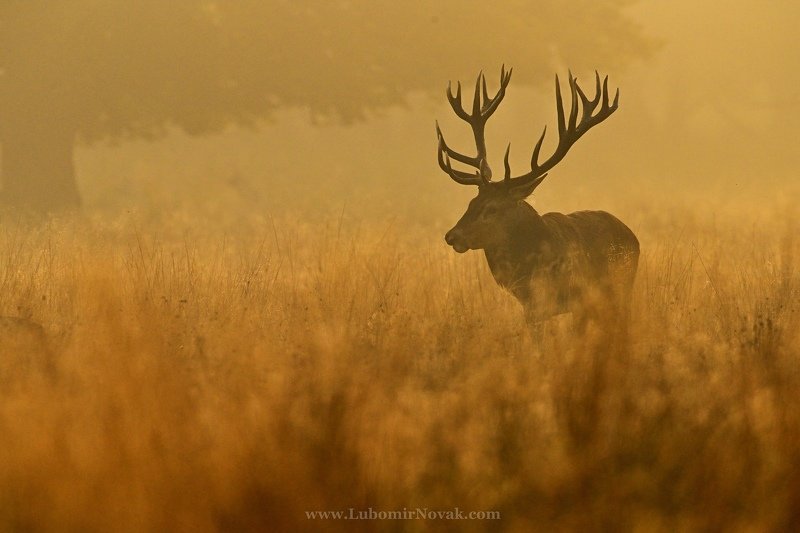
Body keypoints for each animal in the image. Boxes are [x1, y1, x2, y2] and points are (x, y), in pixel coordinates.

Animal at [435, 66, 639, 334]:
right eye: (471, 203)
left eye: (492, 209)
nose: (452, 235)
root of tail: (633, 237)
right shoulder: (531, 309)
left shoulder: (580, 298)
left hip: (621, 286)